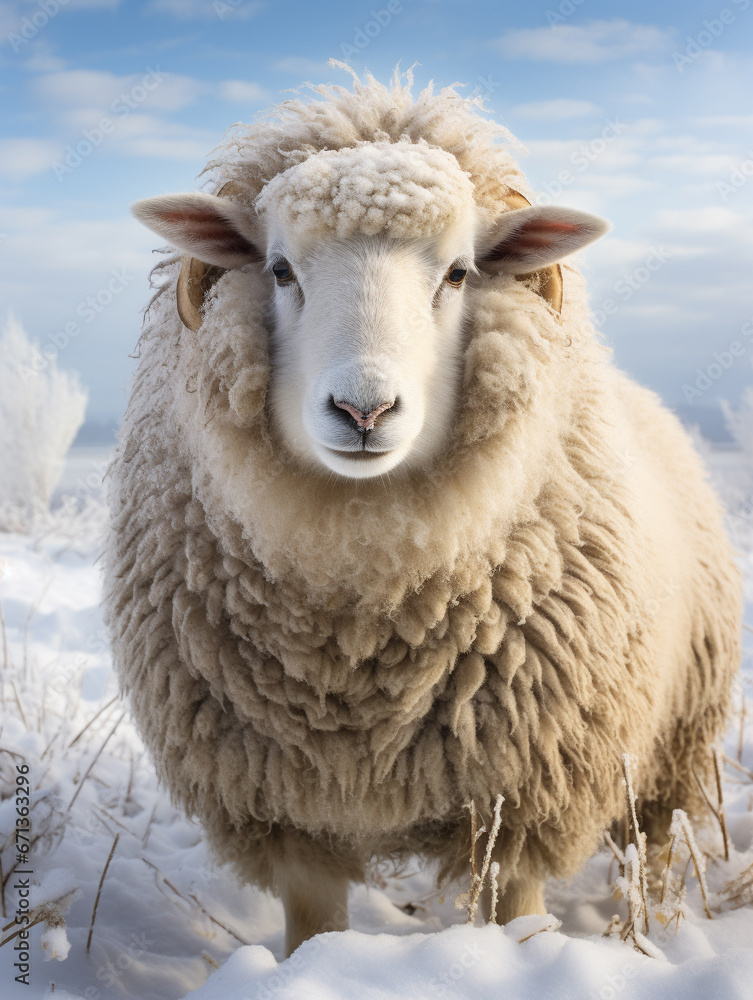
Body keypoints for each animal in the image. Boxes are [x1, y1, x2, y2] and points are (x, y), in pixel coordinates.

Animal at [104, 67, 742, 957]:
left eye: (459, 273)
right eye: (279, 269)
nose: (363, 410)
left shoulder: (523, 796)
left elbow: (517, 913)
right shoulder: (284, 808)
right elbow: (313, 929)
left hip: (671, 751)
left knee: (651, 845)